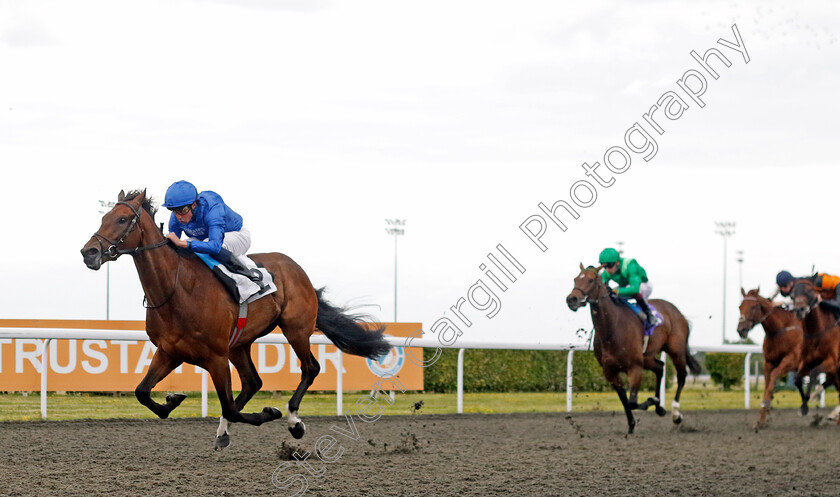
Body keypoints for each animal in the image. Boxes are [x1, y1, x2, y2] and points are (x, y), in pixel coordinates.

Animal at [82, 189, 390, 446]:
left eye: (122, 219)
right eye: (103, 217)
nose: (89, 252)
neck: (177, 290)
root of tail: (297, 270)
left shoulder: (215, 357)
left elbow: (229, 406)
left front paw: (271, 412)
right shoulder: (170, 351)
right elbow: (142, 392)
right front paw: (173, 398)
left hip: (295, 329)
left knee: (309, 368)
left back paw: (293, 420)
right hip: (240, 343)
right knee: (253, 382)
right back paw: (223, 432)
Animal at [564, 264, 704, 434]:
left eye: (591, 280)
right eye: (575, 279)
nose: (572, 299)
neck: (612, 329)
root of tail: (677, 312)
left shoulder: (635, 367)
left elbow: (632, 401)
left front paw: (651, 401)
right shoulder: (609, 370)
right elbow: (624, 399)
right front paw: (632, 424)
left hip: (675, 349)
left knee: (682, 376)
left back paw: (675, 414)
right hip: (647, 356)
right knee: (660, 367)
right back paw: (660, 407)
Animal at [736, 288, 812, 428]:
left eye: (753, 306)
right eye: (740, 307)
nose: (741, 330)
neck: (780, 330)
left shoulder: (792, 360)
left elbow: (774, 376)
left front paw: (766, 403)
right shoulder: (768, 363)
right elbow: (768, 384)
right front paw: (761, 419)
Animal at [792, 280, 840, 422]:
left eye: (809, 290)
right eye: (793, 292)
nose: (800, 310)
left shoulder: (832, 362)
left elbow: (813, 373)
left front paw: (807, 402)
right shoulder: (807, 362)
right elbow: (797, 379)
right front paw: (804, 406)